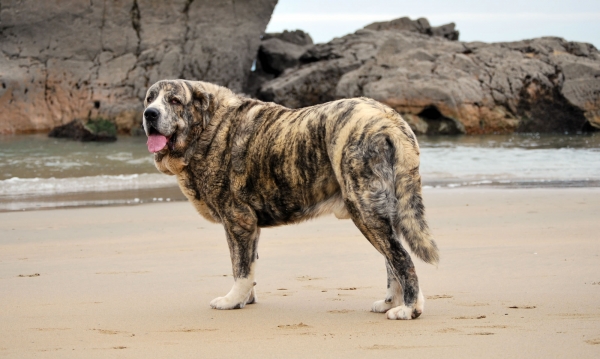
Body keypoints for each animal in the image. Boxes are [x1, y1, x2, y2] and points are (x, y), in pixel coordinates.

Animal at [143, 79, 438, 320]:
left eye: (174, 100)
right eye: (149, 99)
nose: (149, 114)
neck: (208, 126)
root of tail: (389, 118)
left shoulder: (237, 220)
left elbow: (240, 267)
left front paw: (232, 300)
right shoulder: (249, 226)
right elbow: (249, 265)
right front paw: (245, 299)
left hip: (365, 209)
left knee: (401, 259)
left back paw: (409, 309)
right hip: (386, 213)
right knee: (392, 261)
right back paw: (391, 303)